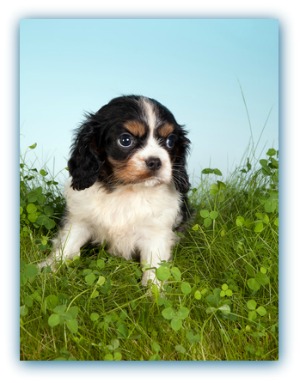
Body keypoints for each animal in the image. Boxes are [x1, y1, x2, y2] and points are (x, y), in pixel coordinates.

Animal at [39, 96, 190, 286]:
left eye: (170, 141)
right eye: (125, 140)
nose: (155, 161)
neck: (125, 190)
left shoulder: (156, 234)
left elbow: (154, 269)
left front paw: (153, 292)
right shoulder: (79, 221)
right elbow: (66, 246)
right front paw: (46, 269)